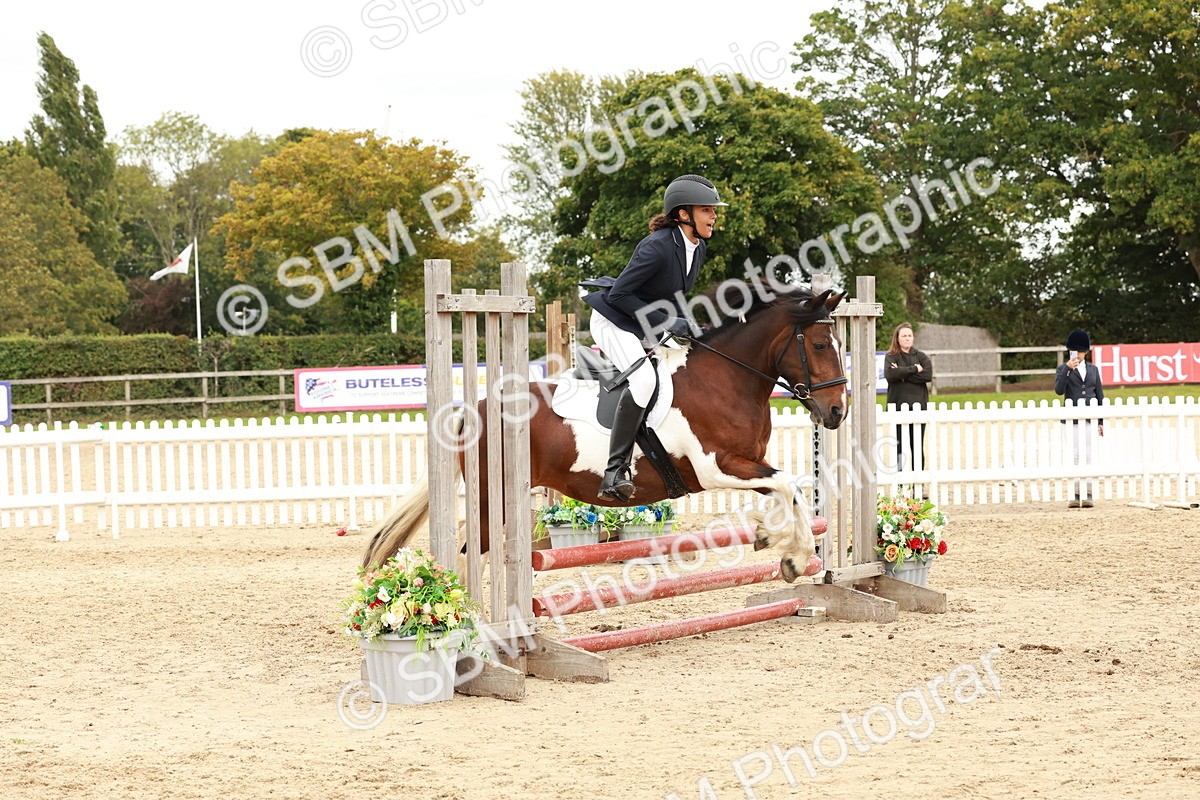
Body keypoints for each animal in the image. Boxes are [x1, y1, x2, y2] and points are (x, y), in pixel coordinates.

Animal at [363, 284, 848, 583]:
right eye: (819, 345)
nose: (837, 412)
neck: (727, 378)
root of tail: (474, 408)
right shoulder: (716, 470)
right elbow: (788, 485)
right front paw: (795, 556)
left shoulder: (748, 464)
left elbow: (789, 489)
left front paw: (773, 539)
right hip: (494, 497)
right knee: (470, 554)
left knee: (469, 547)